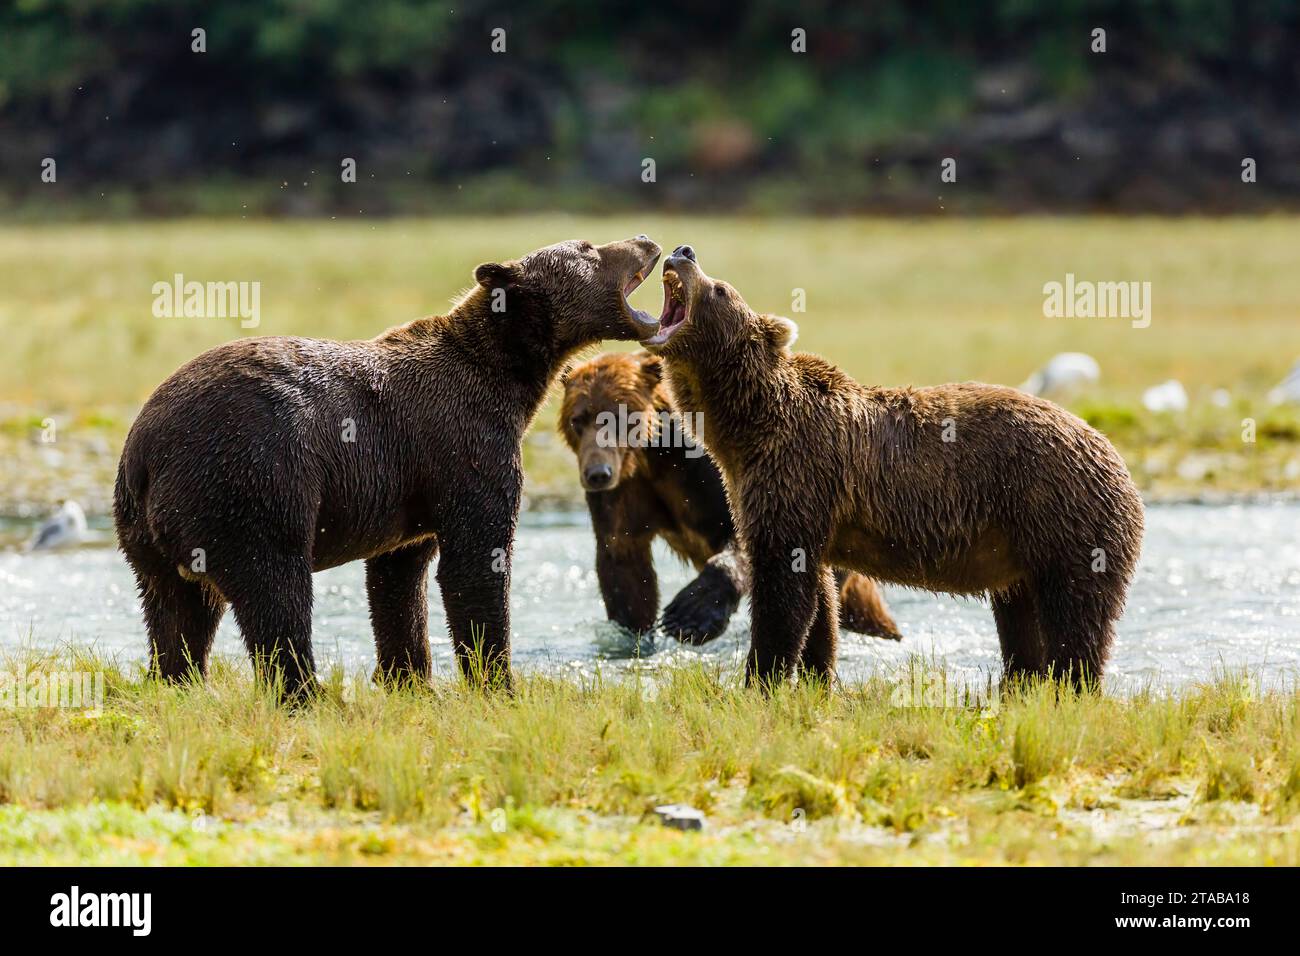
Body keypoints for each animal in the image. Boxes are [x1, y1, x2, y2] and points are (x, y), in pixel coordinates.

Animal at [114, 231, 660, 697]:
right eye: (588, 248)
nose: (646, 240)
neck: (509, 375)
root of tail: (147, 451)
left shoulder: (408, 489)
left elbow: (399, 580)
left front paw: (410, 678)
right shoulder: (462, 444)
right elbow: (476, 560)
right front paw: (498, 682)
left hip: (148, 529)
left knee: (178, 609)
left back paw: (179, 681)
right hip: (252, 477)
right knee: (275, 589)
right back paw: (305, 693)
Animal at [559, 348, 904, 647]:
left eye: (622, 416)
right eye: (579, 419)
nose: (598, 473)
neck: (652, 457)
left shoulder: (708, 470)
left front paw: (691, 614)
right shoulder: (623, 495)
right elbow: (624, 564)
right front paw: (634, 632)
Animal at [644, 247, 1144, 691]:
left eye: (720, 289)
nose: (684, 251)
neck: (747, 427)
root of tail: (1115, 455)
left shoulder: (798, 474)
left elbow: (782, 593)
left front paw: (758, 681)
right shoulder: (779, 495)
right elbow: (817, 599)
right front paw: (816, 675)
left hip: (1063, 517)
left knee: (1075, 619)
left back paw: (1073, 685)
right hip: (1022, 549)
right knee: (1022, 621)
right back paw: (1023, 682)